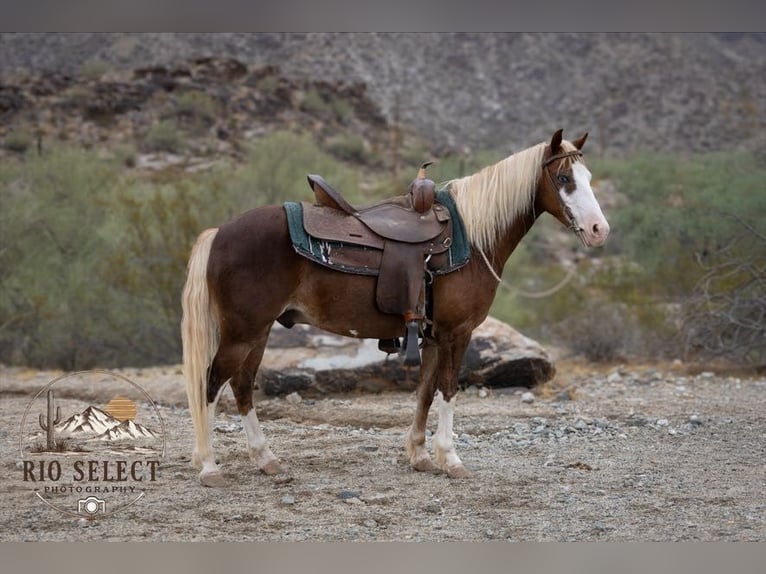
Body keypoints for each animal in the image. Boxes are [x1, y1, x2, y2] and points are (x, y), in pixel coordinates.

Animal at [181, 128, 609, 486]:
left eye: (588, 177)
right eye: (564, 179)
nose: (599, 230)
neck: (471, 237)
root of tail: (219, 233)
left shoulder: (433, 335)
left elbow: (425, 391)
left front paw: (420, 455)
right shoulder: (458, 332)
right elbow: (449, 389)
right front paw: (451, 459)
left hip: (259, 331)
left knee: (242, 386)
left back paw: (266, 459)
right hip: (243, 332)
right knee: (212, 384)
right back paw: (210, 466)